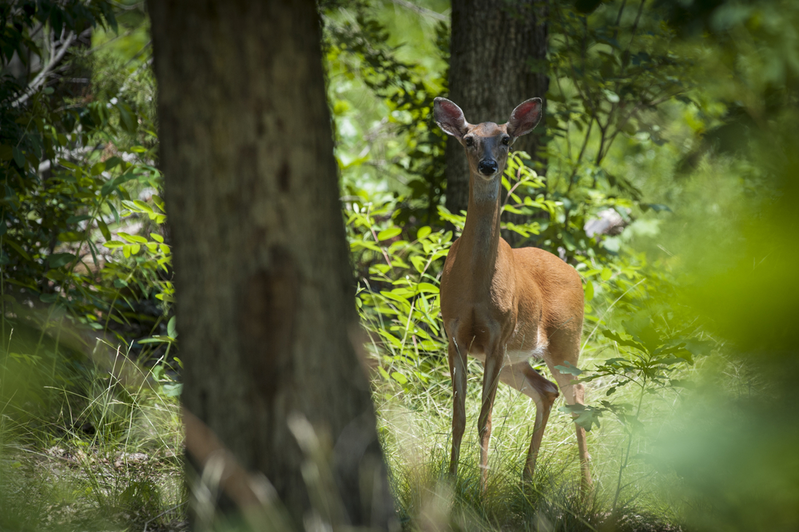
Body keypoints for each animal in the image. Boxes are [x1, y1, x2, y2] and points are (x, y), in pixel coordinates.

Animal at [433, 96, 592, 490]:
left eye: (506, 139)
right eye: (469, 139)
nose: (488, 166)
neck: (475, 287)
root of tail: (574, 272)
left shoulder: (498, 335)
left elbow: (484, 420)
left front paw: (483, 492)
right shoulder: (455, 336)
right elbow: (459, 418)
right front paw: (451, 483)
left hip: (564, 340)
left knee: (578, 397)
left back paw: (587, 490)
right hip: (515, 360)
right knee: (547, 391)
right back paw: (526, 479)